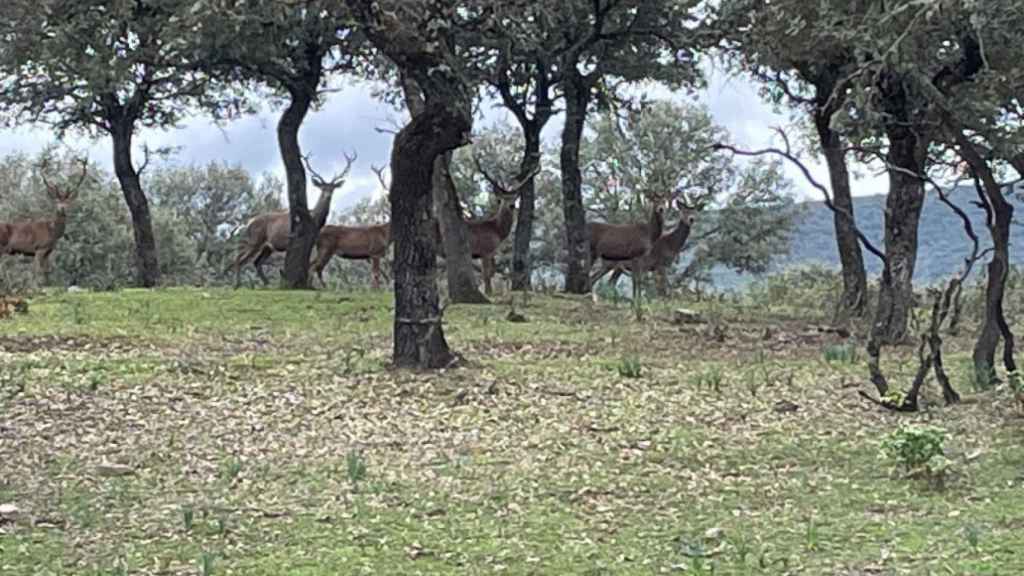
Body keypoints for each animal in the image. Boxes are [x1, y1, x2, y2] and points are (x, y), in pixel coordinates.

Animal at [230, 151, 358, 286]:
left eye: (332, 188)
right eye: (322, 188)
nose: (327, 195)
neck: (314, 219)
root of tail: (249, 223)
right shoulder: (296, 239)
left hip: (267, 246)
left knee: (256, 262)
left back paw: (266, 283)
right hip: (255, 239)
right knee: (239, 258)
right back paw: (237, 284)